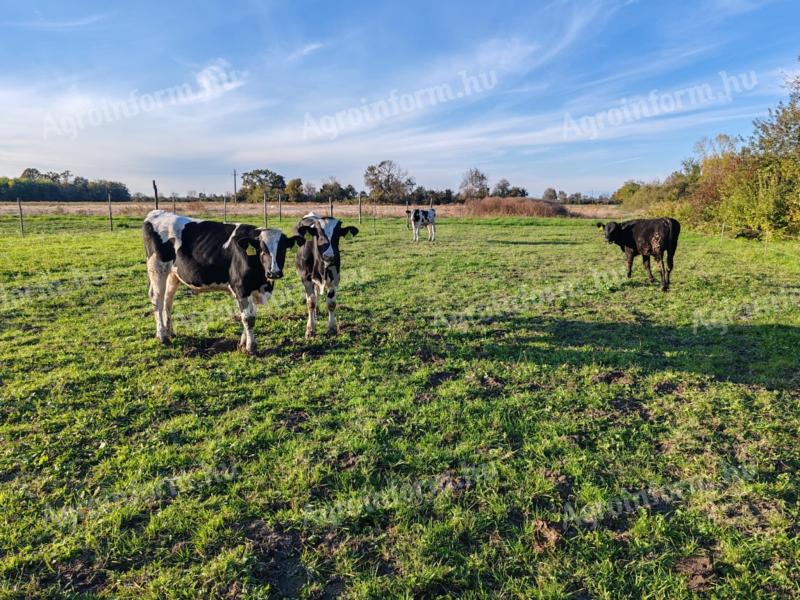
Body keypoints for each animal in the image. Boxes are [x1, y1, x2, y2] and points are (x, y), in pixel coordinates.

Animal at [142, 210, 304, 354]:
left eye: (283, 249)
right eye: (262, 250)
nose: (274, 272)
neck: (262, 279)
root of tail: (156, 213)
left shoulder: (255, 290)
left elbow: (250, 315)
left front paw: (242, 343)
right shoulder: (241, 287)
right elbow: (248, 318)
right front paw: (250, 348)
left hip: (173, 274)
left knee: (167, 300)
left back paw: (169, 332)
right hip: (157, 269)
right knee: (157, 300)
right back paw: (162, 336)